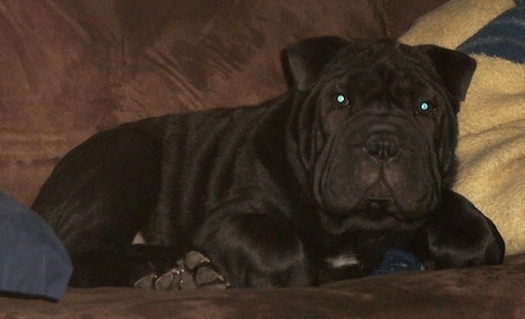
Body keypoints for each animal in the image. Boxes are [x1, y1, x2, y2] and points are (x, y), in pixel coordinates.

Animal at [31, 36, 504, 288]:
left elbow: (474, 227)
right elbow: (280, 247)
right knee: (77, 254)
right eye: (339, 100)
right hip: (131, 155)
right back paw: (169, 270)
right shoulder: (230, 219)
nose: (383, 142)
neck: (358, 224)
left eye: (426, 107)